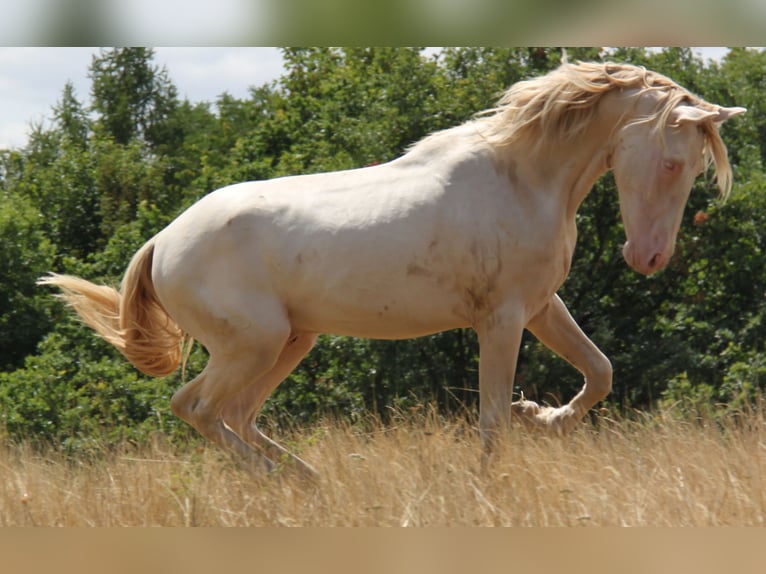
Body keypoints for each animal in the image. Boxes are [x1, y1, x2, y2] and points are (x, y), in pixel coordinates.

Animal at [39, 62, 745, 479]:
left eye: (692, 166)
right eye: (674, 162)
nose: (648, 259)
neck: (525, 177)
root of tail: (161, 242)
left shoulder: (541, 306)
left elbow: (599, 372)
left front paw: (541, 417)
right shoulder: (502, 318)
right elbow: (491, 418)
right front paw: (493, 476)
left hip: (291, 342)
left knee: (235, 415)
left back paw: (307, 481)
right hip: (252, 345)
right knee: (197, 408)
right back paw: (284, 483)